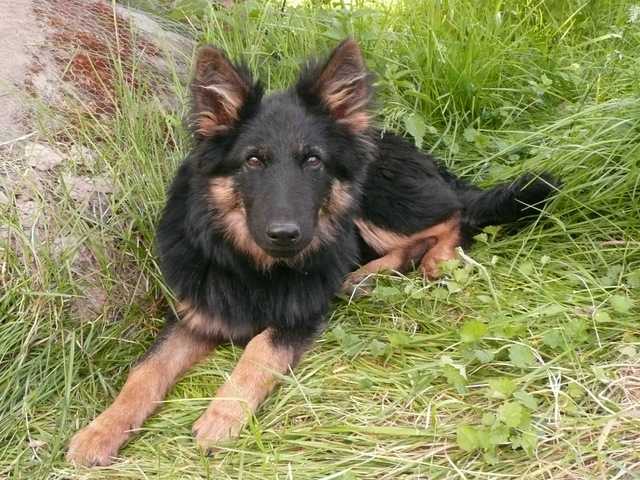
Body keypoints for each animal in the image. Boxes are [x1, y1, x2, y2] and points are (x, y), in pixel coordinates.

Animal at [67, 39, 556, 466]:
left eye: (313, 161)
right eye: (253, 160)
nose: (286, 235)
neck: (253, 267)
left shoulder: (299, 315)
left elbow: (258, 350)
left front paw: (222, 416)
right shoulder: (198, 312)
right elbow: (144, 372)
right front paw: (99, 431)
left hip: (376, 203)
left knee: (456, 216)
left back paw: (433, 260)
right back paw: (366, 276)